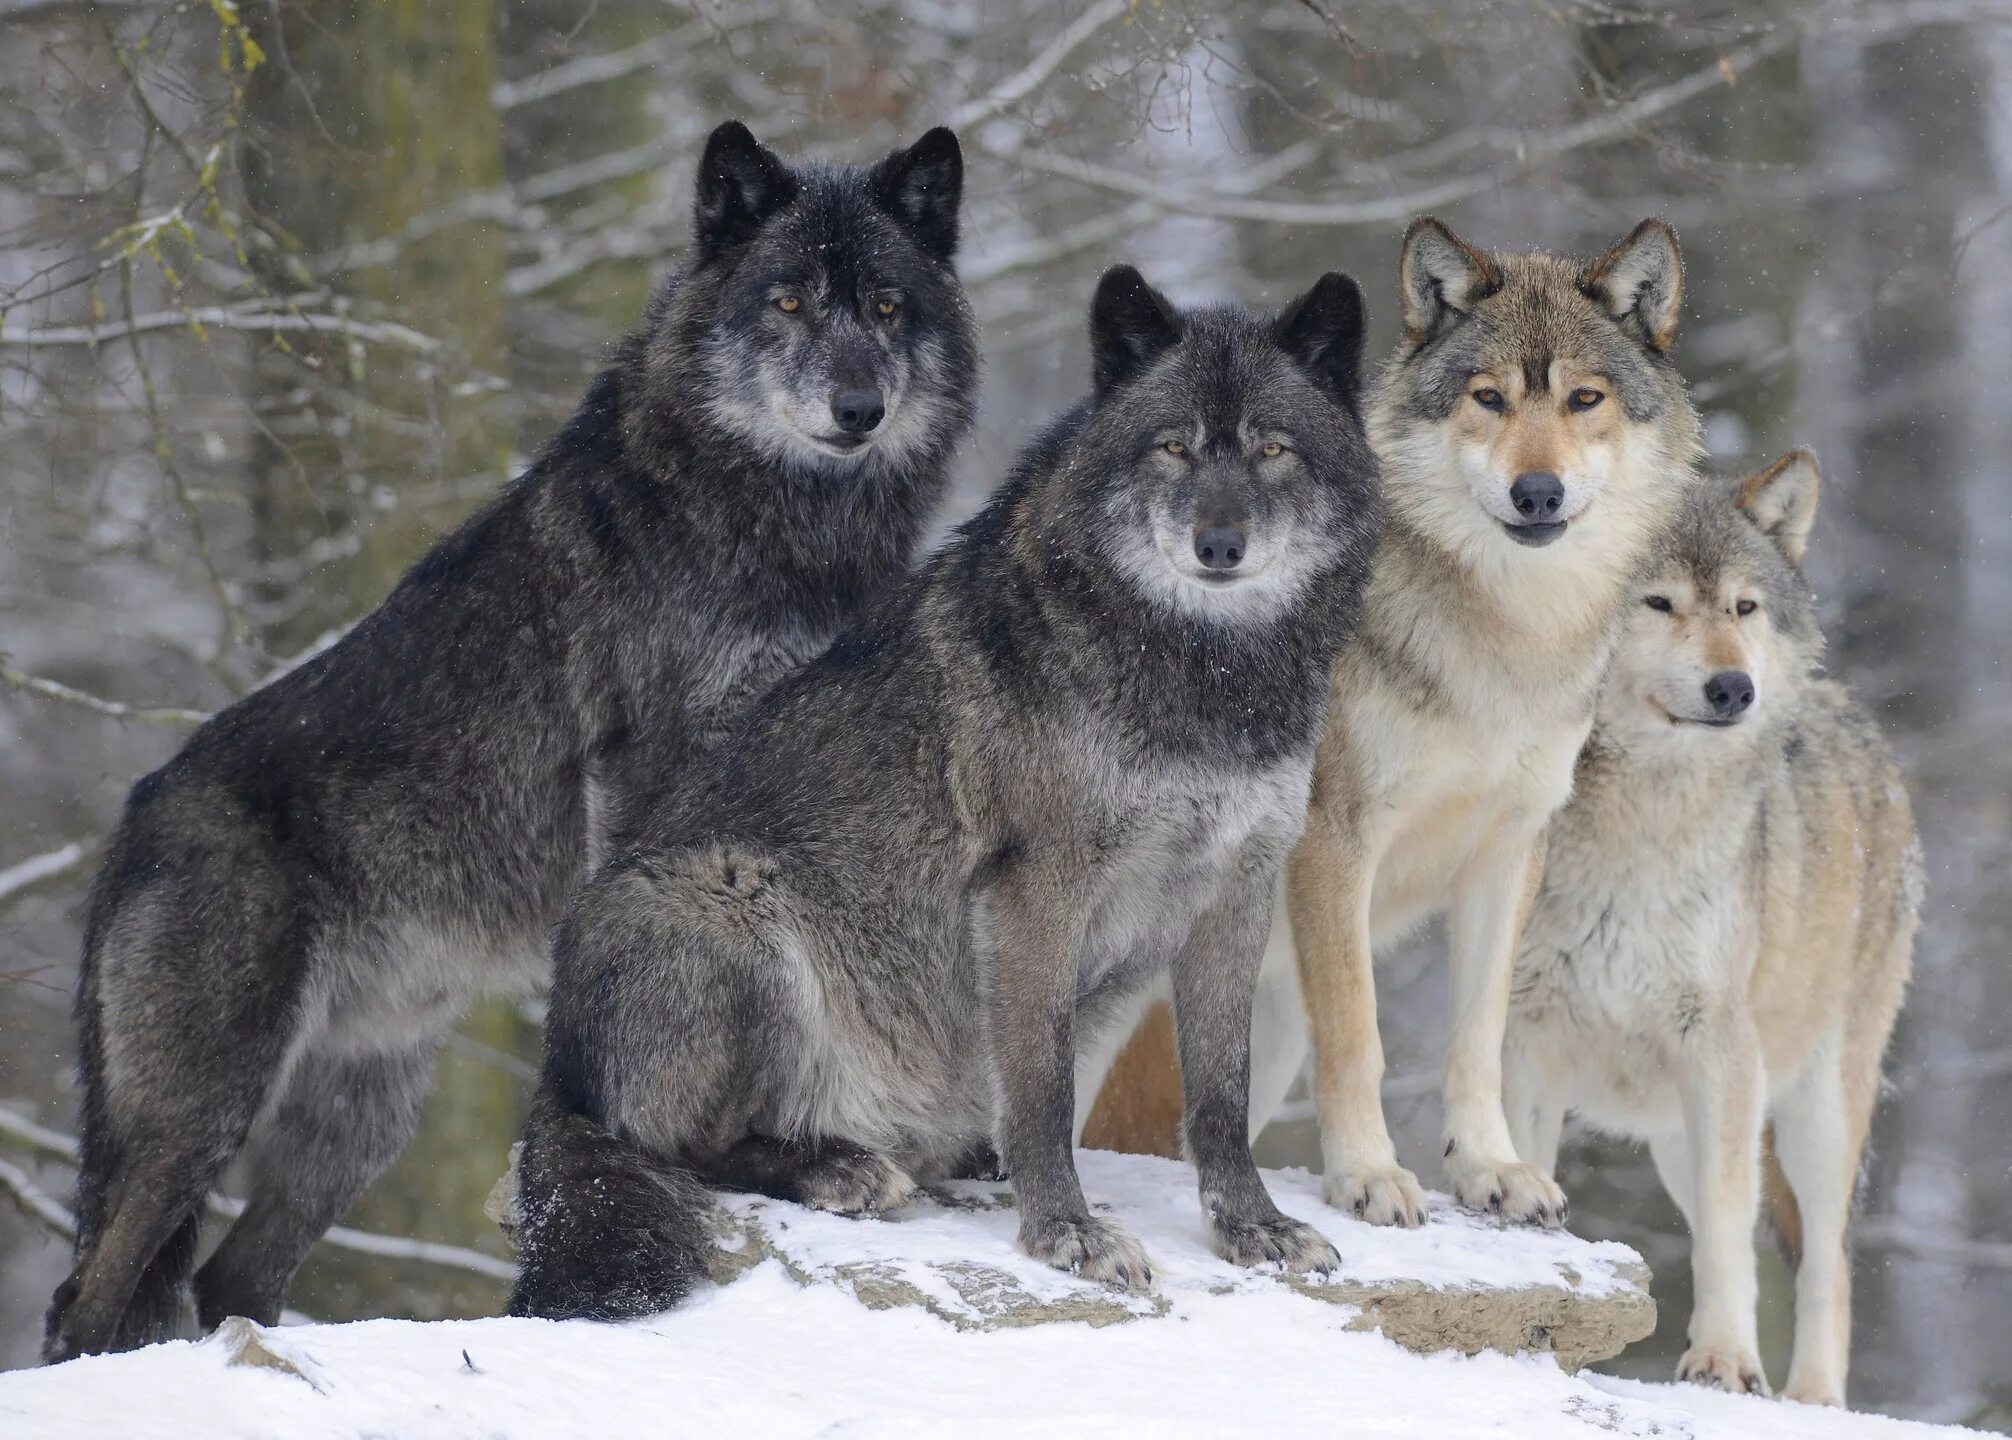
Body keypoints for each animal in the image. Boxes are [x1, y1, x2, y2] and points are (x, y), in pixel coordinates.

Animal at [43, 121, 985, 1359]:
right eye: (785, 302)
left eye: (884, 306)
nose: (857, 406)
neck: (779, 525)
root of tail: (132, 819)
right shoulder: (650, 778)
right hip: (200, 1111)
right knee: (93, 1295)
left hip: (359, 1123)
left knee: (228, 1278)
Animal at [503, 259, 1384, 1319]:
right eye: (1172, 447)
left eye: (1272, 451)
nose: (1221, 544)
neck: (1204, 679)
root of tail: (556, 1074)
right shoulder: (1034, 890)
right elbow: (1043, 1089)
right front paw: (1067, 1233)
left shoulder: (1237, 893)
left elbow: (1221, 1092)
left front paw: (1253, 1228)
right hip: (728, 900)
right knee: (676, 1148)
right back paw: (839, 1167)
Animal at [1513, 452, 1915, 1407]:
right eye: (1657, 603)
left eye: (1743, 608)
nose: (1735, 688)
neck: (1641, 833)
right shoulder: (1526, 1035)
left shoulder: (1722, 1052)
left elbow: (1733, 1239)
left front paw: (1726, 1364)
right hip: (1677, 1137)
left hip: (1810, 1113)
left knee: (1827, 1267)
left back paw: (1810, 1398)